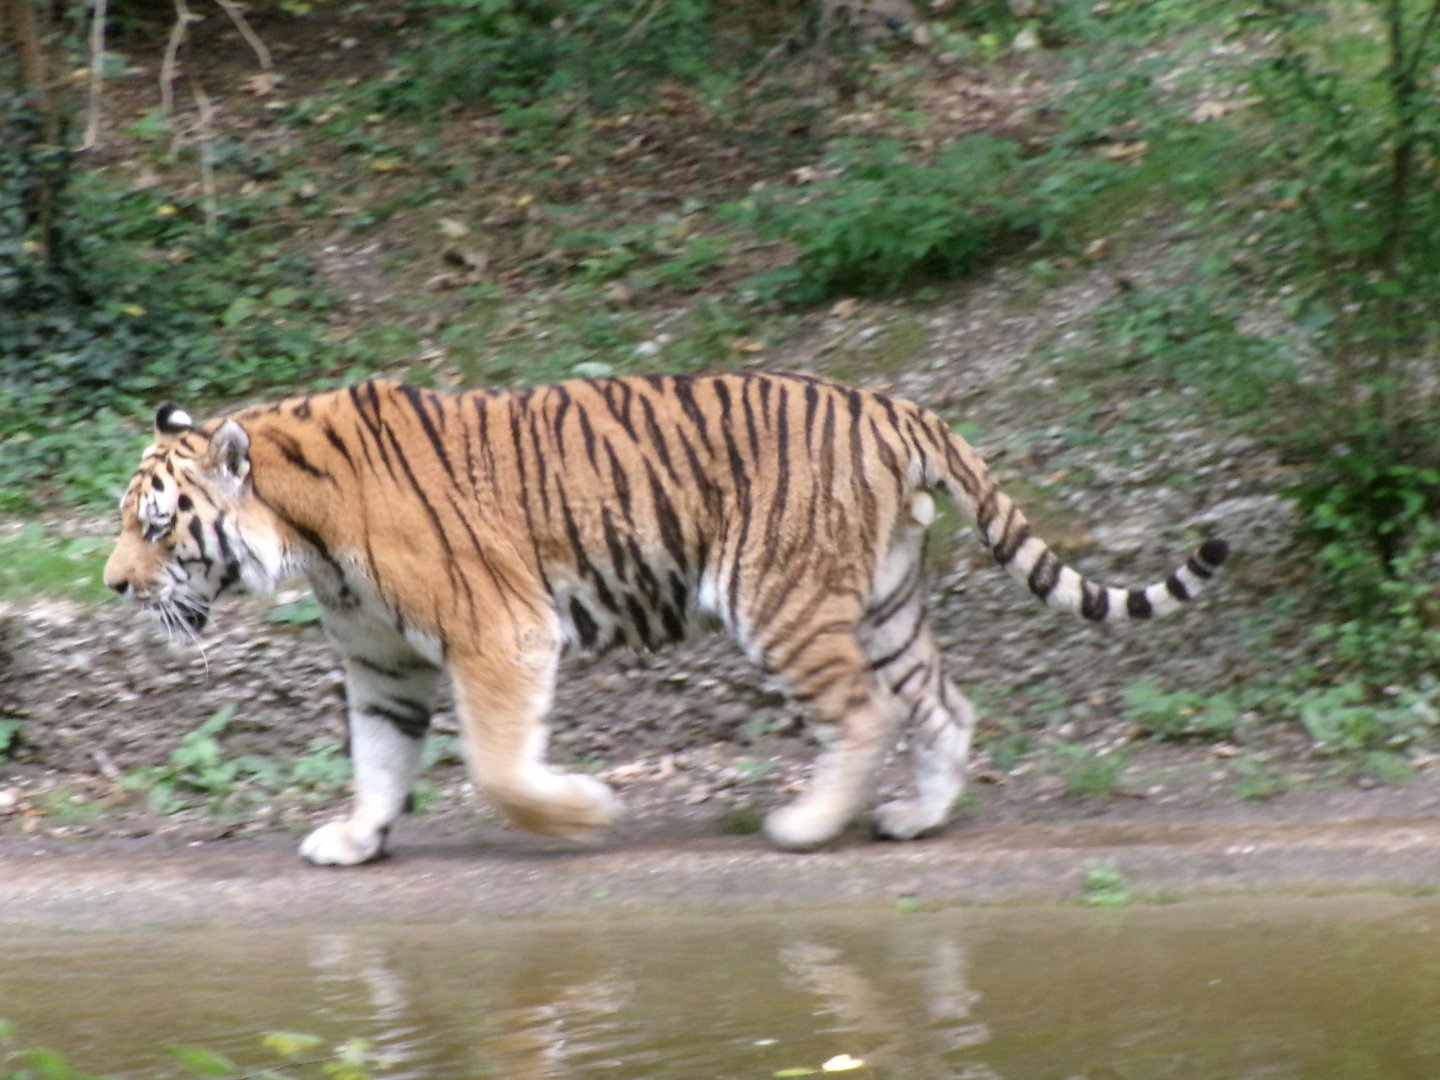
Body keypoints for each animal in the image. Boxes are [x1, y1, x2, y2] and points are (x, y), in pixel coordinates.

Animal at [103, 372, 1228, 865]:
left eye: (156, 526)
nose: (113, 586)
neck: (304, 540)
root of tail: (894, 404)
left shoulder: (500, 631)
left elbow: (499, 769)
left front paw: (587, 814)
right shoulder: (382, 667)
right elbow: (381, 759)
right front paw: (356, 838)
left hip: (781, 598)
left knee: (867, 715)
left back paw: (807, 826)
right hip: (882, 602)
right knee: (943, 707)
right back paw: (916, 818)